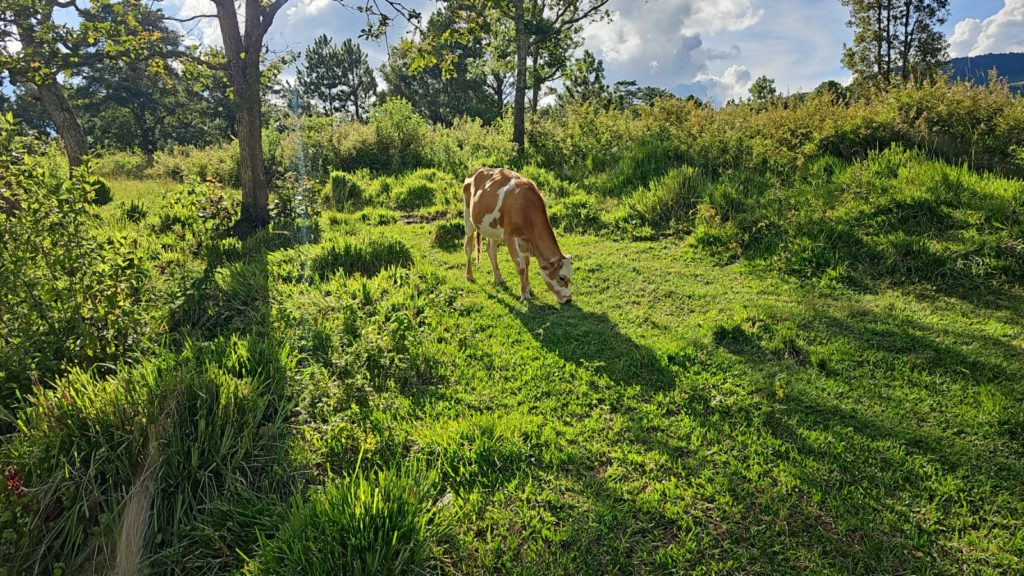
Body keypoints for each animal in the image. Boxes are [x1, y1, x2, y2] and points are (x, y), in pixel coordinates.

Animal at [466, 166, 577, 303]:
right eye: (561, 277)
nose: (568, 300)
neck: (526, 208)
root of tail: (478, 169)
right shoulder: (510, 237)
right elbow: (521, 268)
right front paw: (524, 295)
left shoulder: (525, 241)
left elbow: (527, 264)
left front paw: (528, 288)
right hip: (468, 217)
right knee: (468, 248)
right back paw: (469, 275)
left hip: (492, 229)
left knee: (491, 251)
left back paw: (498, 278)